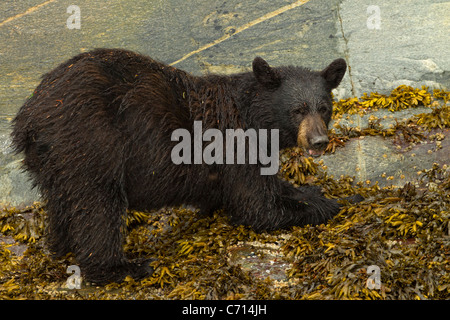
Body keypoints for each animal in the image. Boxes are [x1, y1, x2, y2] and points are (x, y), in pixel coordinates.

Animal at [12, 48, 354, 282]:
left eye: (324, 108)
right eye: (298, 110)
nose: (319, 141)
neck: (254, 117)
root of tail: (29, 114)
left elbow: (273, 188)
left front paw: (327, 194)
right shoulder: (234, 147)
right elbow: (258, 207)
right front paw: (332, 204)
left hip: (53, 161)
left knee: (62, 201)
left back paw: (61, 246)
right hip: (89, 142)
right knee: (97, 206)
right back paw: (124, 267)